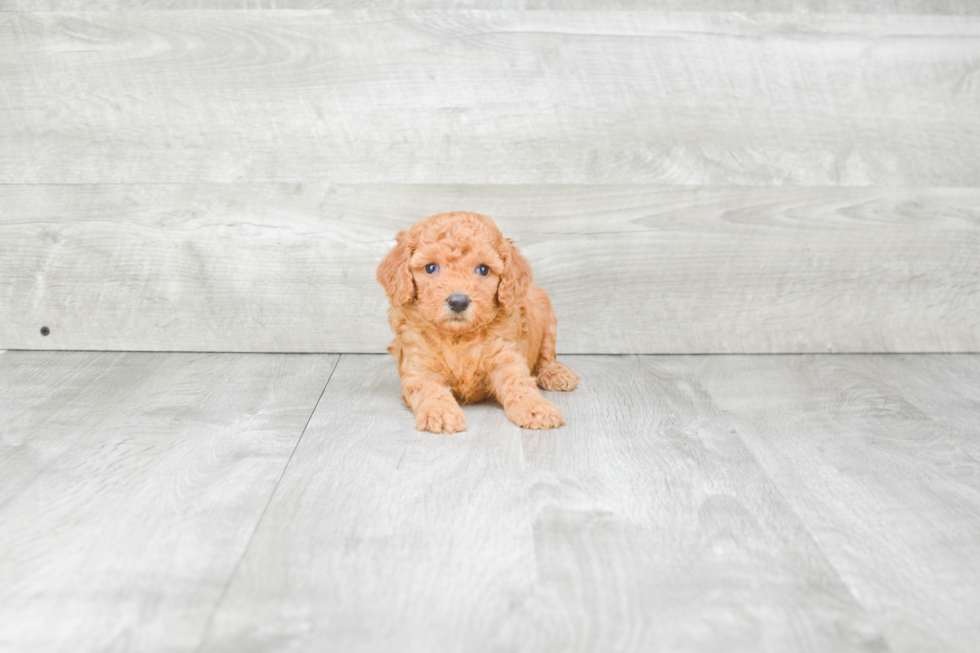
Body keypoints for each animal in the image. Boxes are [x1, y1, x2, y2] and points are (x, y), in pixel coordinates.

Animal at [378, 211, 580, 430]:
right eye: (431, 268)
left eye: (483, 269)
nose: (458, 301)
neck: (458, 337)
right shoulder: (420, 366)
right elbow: (431, 390)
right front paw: (441, 413)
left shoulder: (505, 358)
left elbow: (520, 384)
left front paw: (536, 408)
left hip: (547, 315)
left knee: (546, 357)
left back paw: (556, 373)